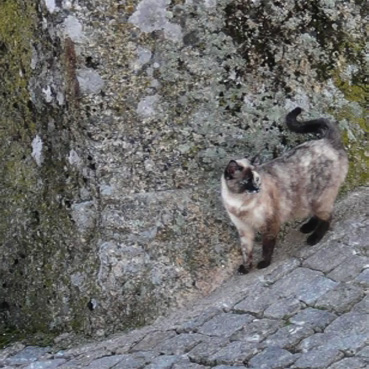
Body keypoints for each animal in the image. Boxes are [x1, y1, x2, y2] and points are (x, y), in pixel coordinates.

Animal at [221, 107, 348, 274]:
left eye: (256, 180)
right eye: (246, 182)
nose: (256, 189)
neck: (239, 203)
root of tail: (325, 141)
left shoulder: (270, 224)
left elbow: (267, 247)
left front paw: (264, 264)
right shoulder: (244, 230)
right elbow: (246, 252)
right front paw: (245, 269)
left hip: (319, 199)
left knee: (327, 217)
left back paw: (313, 238)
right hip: (309, 200)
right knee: (318, 215)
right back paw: (307, 228)